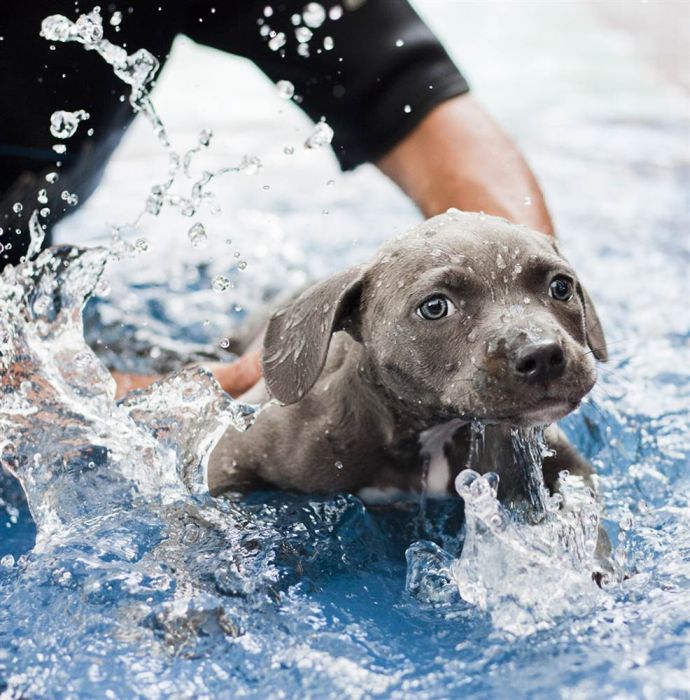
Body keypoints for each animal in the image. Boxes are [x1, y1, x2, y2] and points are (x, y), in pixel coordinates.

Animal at [207, 211, 604, 506]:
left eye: (561, 287)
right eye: (435, 307)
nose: (542, 354)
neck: (433, 432)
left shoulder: (566, 464)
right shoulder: (229, 453)